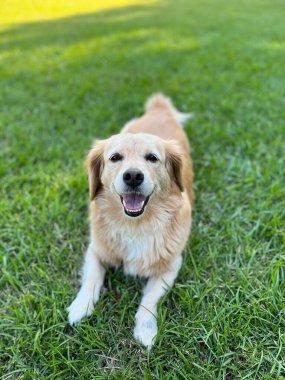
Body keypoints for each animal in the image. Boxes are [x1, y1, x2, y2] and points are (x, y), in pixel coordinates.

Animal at [67, 93, 194, 348]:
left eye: (152, 158)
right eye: (115, 157)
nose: (133, 176)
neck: (136, 225)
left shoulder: (171, 265)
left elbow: (149, 299)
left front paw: (145, 329)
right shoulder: (95, 249)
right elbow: (92, 278)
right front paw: (80, 307)